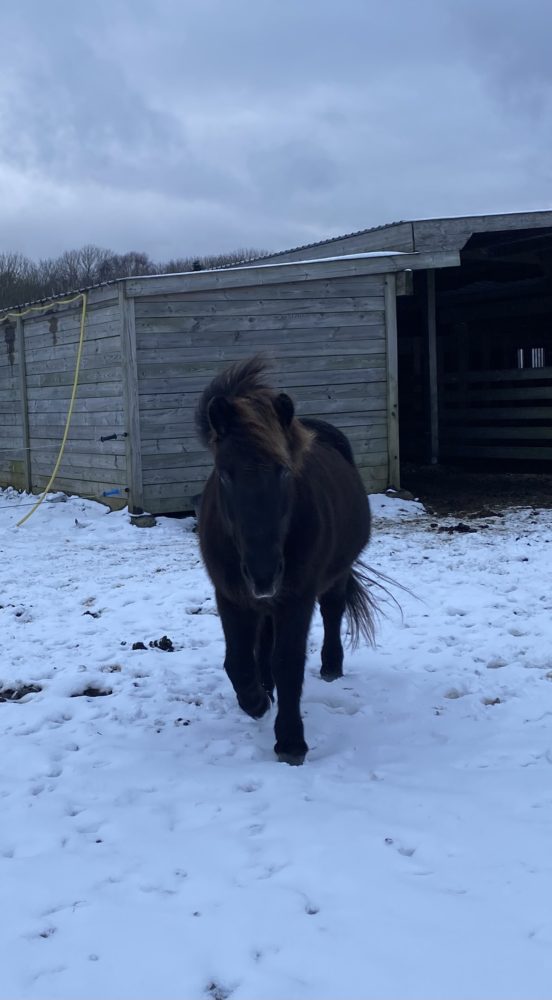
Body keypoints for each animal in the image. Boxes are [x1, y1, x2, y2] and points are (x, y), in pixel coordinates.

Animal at [194, 356, 376, 760]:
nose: (263, 575)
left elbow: (288, 662)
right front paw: (256, 701)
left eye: (284, 471)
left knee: (333, 612)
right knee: (263, 638)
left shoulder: (297, 596)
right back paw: (264, 687)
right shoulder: (229, 593)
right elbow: (238, 660)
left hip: (334, 576)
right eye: (224, 475)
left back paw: (330, 666)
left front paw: (291, 741)